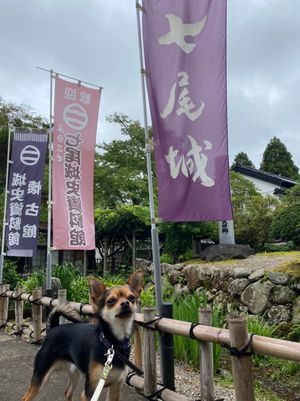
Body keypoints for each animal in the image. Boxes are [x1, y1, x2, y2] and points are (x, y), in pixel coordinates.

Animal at [22, 268, 144, 400]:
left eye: (132, 298)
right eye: (111, 301)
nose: (126, 303)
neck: (113, 343)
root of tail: (53, 328)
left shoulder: (115, 387)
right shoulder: (90, 390)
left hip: (75, 374)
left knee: (67, 392)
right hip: (41, 376)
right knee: (26, 397)